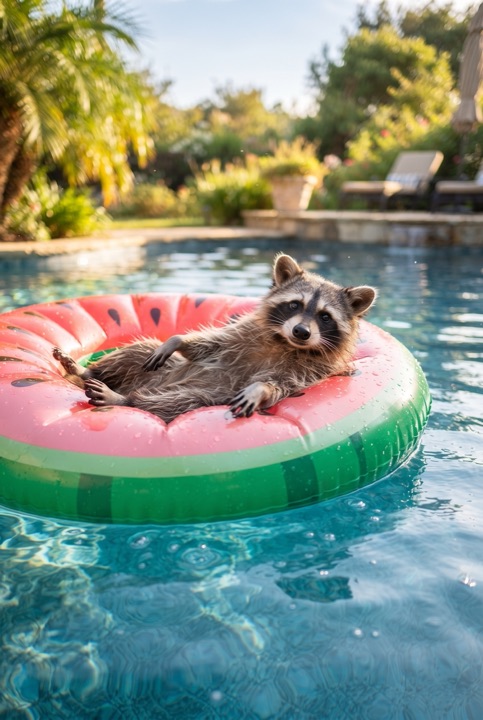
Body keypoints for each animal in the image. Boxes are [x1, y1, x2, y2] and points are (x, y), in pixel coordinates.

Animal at [52, 254, 376, 422]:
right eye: (295, 305)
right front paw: (178, 341)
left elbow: (280, 384)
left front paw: (260, 389)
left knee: (176, 402)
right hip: (149, 367)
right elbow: (211, 344)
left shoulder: (309, 371)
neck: (284, 343)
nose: (301, 332)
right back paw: (86, 372)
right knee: (137, 351)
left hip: (203, 396)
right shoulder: (242, 334)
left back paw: (123, 399)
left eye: (325, 316)